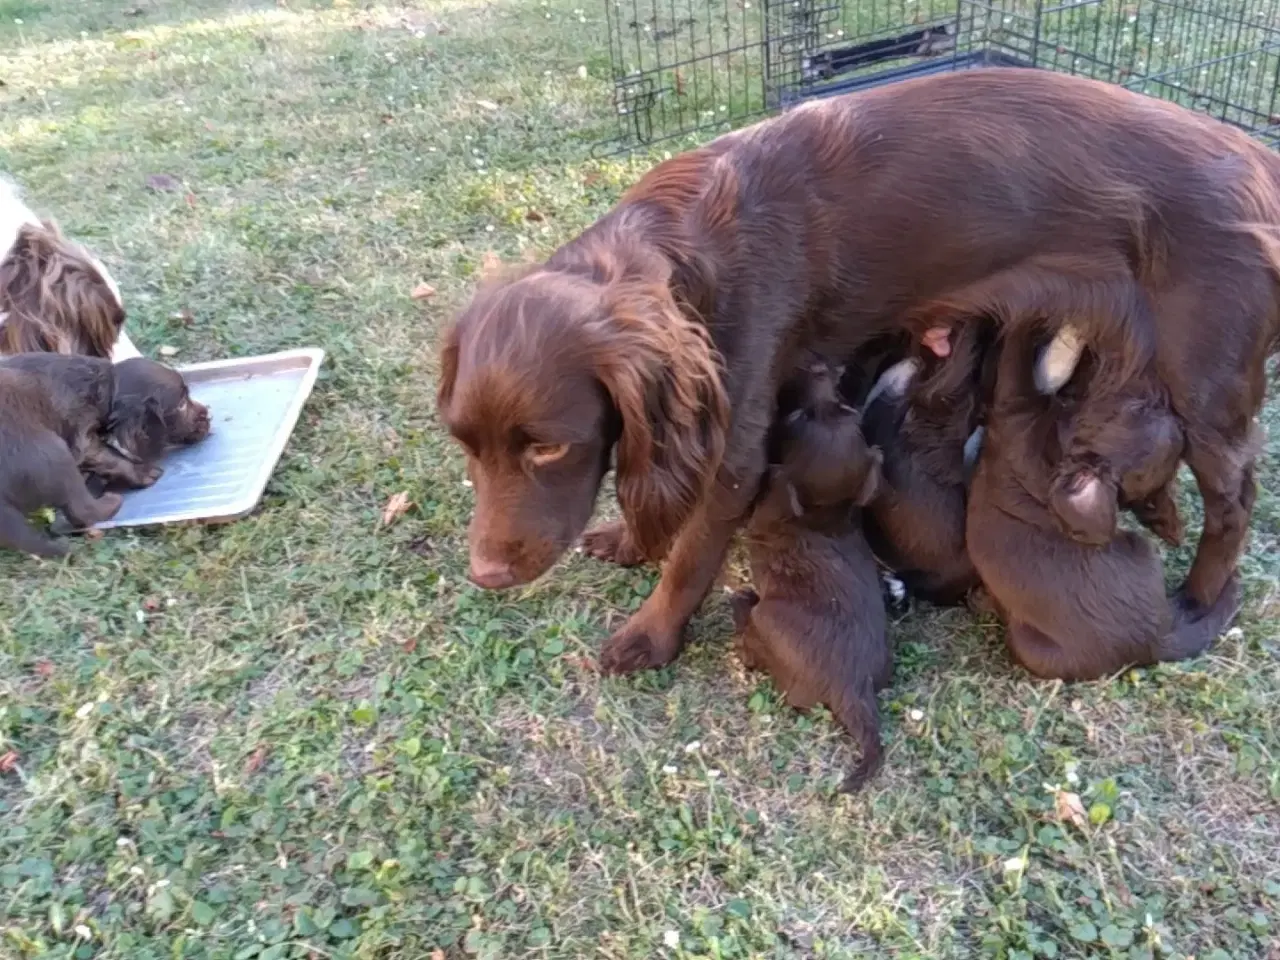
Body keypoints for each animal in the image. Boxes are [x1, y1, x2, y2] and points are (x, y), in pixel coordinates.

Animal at [967, 330, 1239, 686]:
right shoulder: (1015, 411)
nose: (1174, 415)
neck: (1059, 452)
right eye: (1139, 409)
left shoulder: (1014, 411)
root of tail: (1151, 643)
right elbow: (1018, 352)